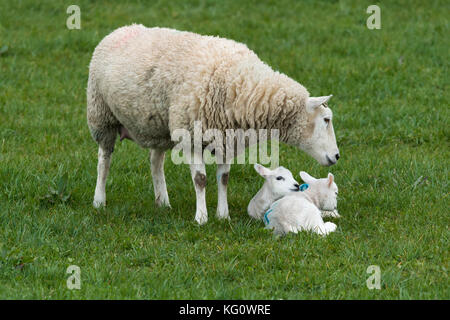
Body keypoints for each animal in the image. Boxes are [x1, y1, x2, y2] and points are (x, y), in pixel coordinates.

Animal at [88, 24, 340, 225]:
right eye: (326, 120)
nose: (337, 156)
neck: (242, 86)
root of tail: (120, 29)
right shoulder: (192, 137)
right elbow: (200, 180)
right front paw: (201, 218)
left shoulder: (227, 140)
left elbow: (224, 179)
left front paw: (223, 215)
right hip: (101, 116)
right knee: (104, 161)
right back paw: (99, 200)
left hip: (159, 126)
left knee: (155, 162)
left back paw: (163, 201)